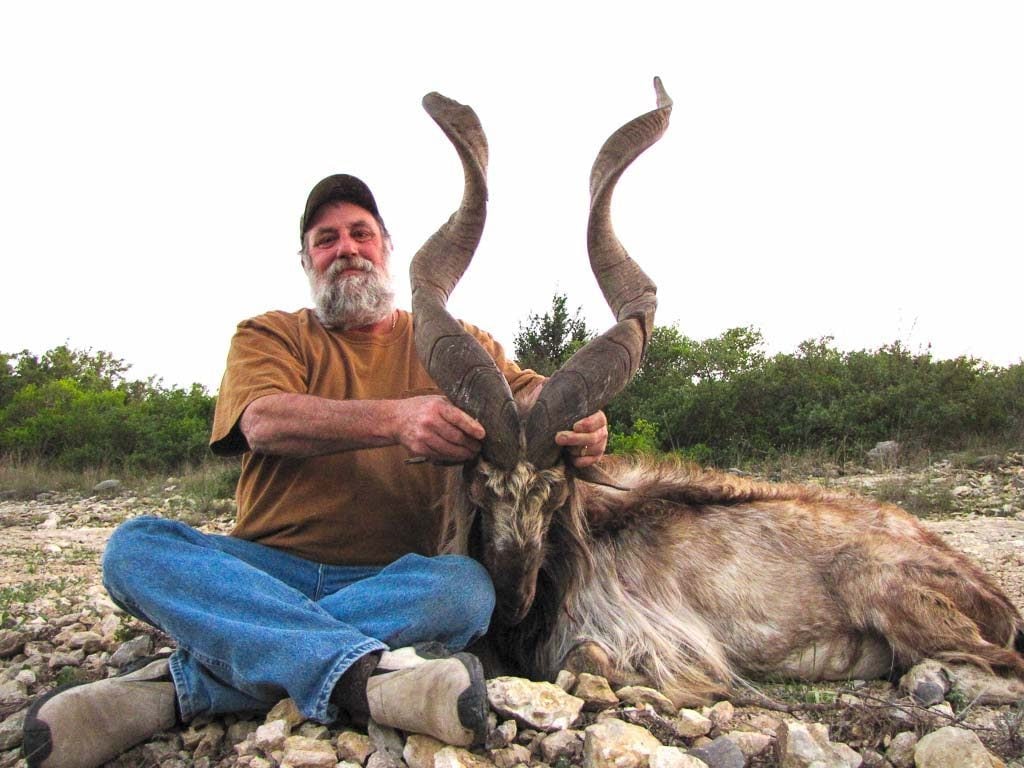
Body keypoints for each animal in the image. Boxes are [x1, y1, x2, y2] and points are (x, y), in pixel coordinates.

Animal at [407, 81, 1024, 708]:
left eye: (554, 493)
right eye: (482, 487)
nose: (512, 601)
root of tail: (987, 589)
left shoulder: (655, 637)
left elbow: (586, 660)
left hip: (884, 587)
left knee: (1001, 665)